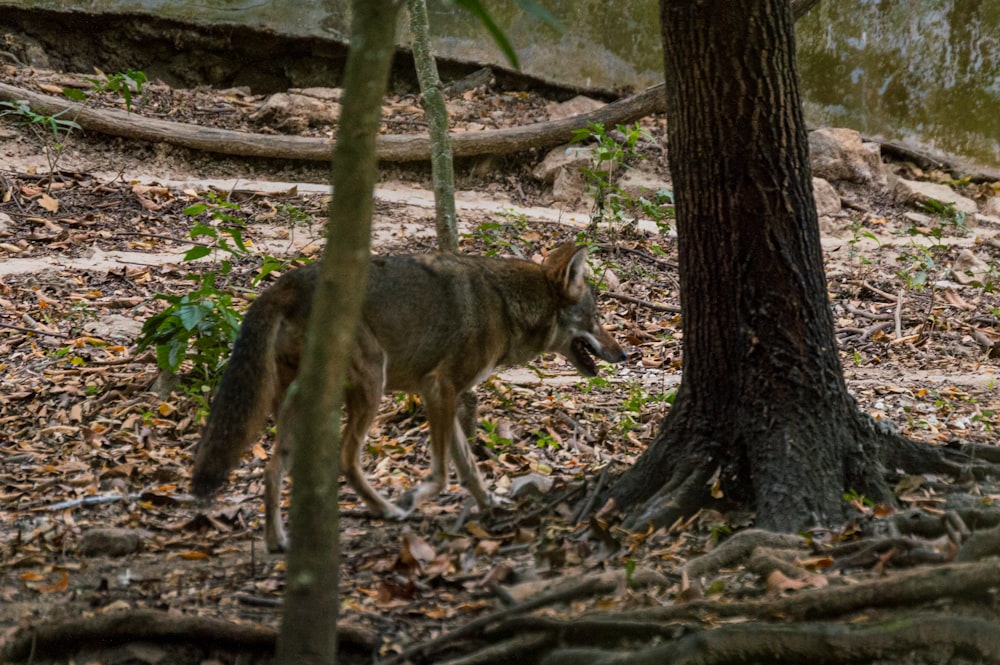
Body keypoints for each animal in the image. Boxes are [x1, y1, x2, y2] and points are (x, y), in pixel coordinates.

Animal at [189, 243, 624, 548]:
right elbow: (443, 473)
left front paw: (490, 505)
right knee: (345, 459)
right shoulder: (439, 388)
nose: (625, 354)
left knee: (273, 467)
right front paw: (413, 497)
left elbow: (468, 467)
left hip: (300, 404)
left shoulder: (445, 396)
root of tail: (284, 284)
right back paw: (385, 510)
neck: (504, 305)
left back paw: (277, 539)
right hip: (371, 384)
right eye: (595, 318)